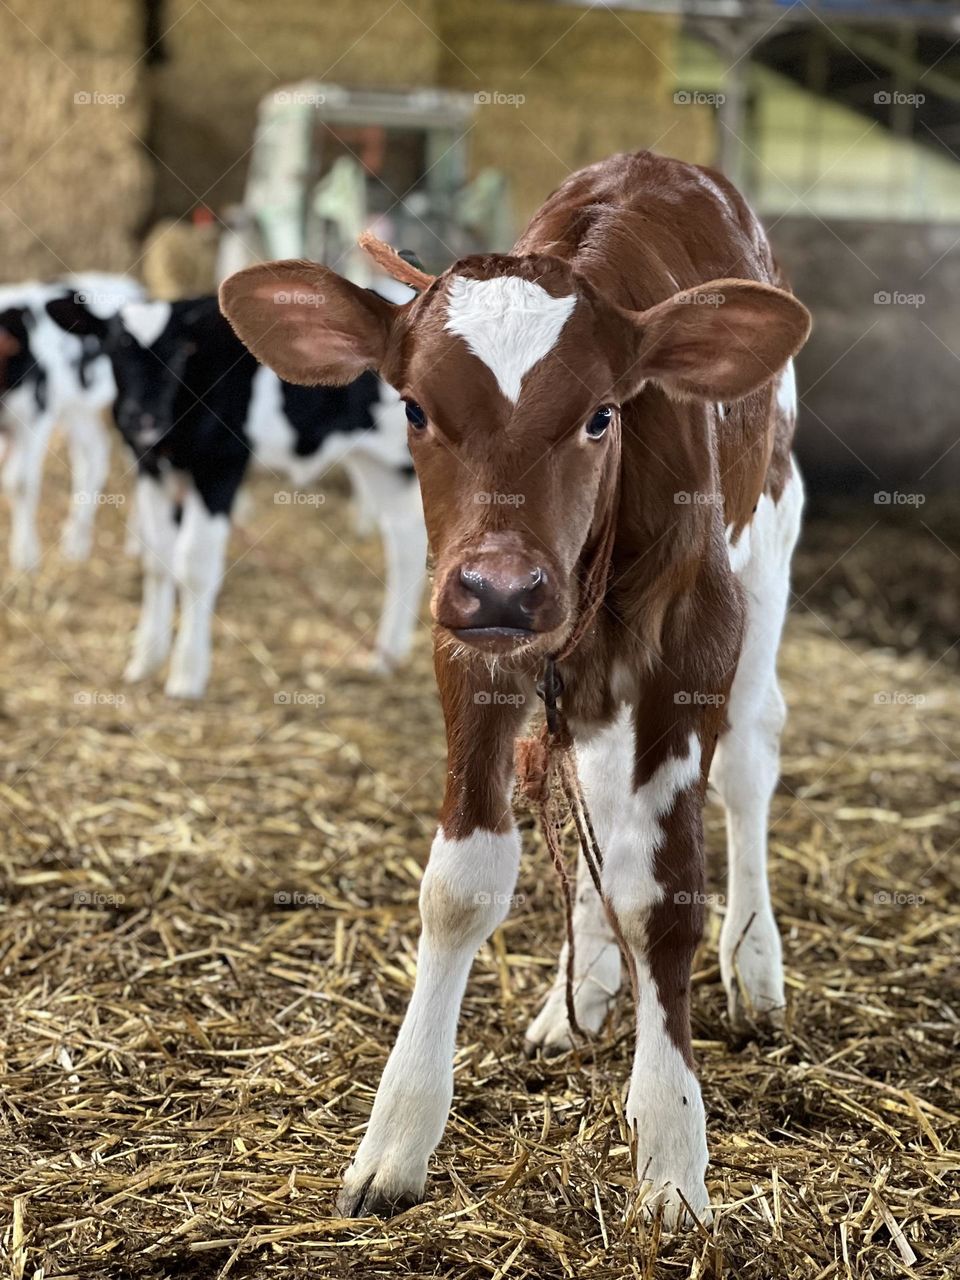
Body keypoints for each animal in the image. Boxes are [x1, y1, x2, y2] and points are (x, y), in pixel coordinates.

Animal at [0, 274, 143, 571]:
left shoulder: (36, 417)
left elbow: (20, 482)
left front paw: (26, 556)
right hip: (78, 412)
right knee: (94, 457)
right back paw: (76, 541)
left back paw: (136, 544)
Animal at [45, 294, 425, 699]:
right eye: (115, 347)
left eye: (179, 351)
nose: (140, 417)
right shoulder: (150, 466)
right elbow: (157, 559)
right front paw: (145, 662)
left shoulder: (222, 465)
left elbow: (194, 567)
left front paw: (187, 676)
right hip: (379, 466)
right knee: (405, 543)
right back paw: (387, 656)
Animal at [218, 150, 811, 1226]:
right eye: (414, 408)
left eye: (602, 414)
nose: (503, 584)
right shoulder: (472, 646)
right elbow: (462, 882)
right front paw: (398, 1134)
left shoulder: (697, 638)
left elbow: (666, 887)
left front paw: (673, 1154)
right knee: (592, 793)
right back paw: (583, 992)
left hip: (771, 545)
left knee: (748, 760)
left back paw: (754, 965)